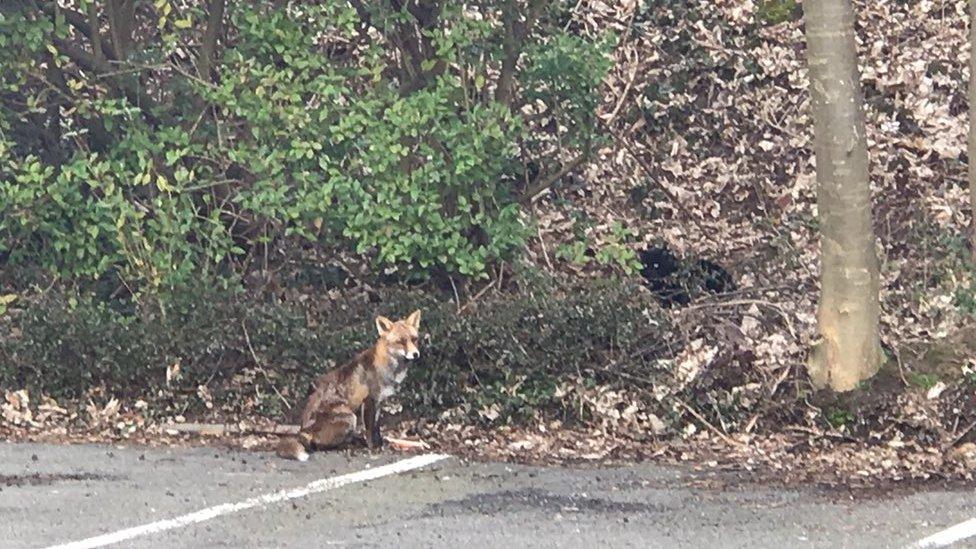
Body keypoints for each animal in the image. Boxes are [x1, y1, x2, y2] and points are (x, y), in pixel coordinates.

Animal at [278, 308, 424, 458]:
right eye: (401, 341)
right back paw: (346, 445)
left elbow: (376, 427)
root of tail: (302, 430)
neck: (386, 366)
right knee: (318, 445)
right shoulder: (369, 400)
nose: (416, 354)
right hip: (350, 417)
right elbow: (370, 429)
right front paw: (373, 447)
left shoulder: (379, 401)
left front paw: (379, 444)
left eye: (414, 339)